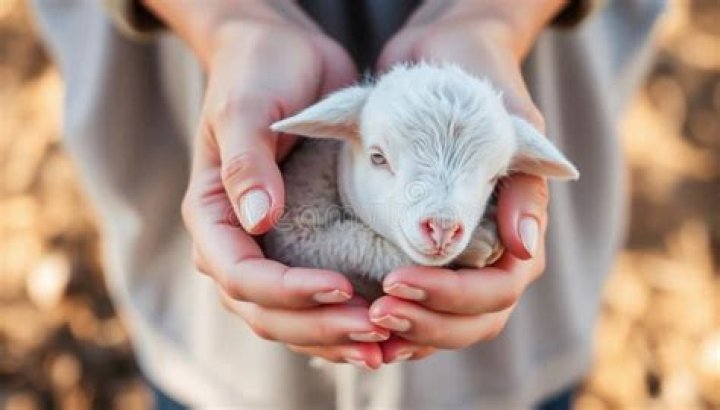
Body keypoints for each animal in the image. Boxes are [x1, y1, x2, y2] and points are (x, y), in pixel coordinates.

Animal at [263, 63, 579, 300]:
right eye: (378, 157)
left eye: (495, 177)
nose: (443, 228)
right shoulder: (296, 239)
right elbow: (355, 241)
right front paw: (480, 243)